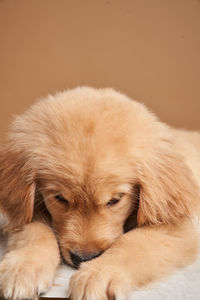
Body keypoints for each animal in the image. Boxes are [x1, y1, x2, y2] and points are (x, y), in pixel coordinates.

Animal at [0, 87, 199, 300]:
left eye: (115, 200)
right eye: (60, 198)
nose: (84, 258)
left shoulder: (180, 227)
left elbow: (137, 242)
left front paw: (99, 274)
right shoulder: (23, 210)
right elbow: (34, 229)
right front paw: (22, 268)